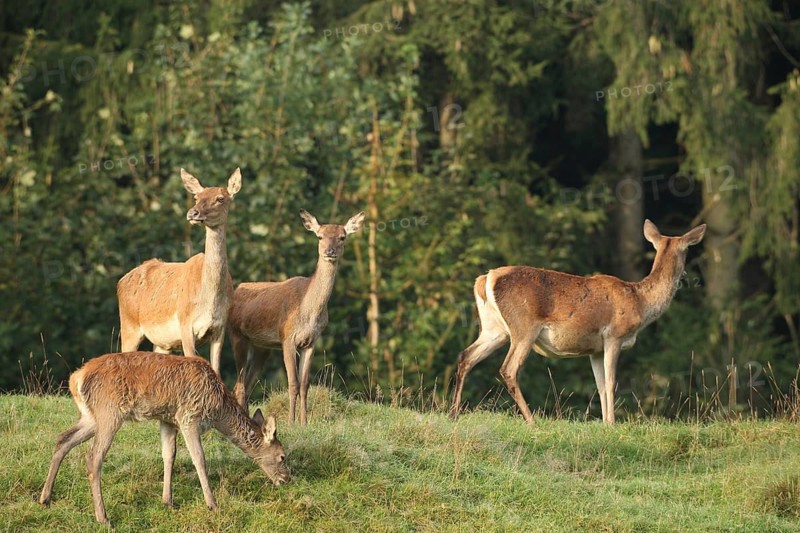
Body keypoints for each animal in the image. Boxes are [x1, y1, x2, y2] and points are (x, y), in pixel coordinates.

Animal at [39, 351, 290, 525]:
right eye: (282, 456)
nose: (287, 479)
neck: (218, 410)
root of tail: (76, 379)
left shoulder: (168, 420)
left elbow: (169, 455)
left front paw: (168, 501)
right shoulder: (188, 416)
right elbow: (199, 458)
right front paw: (213, 504)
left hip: (90, 417)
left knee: (63, 439)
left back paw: (45, 498)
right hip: (109, 411)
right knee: (93, 457)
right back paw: (103, 517)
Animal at [117, 168, 241, 375]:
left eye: (221, 198)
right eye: (197, 197)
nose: (193, 212)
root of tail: (120, 282)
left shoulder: (220, 327)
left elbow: (216, 369)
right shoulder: (185, 324)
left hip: (161, 343)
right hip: (129, 325)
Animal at [229, 210, 365, 425]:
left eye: (342, 237)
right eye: (320, 236)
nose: (330, 251)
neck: (308, 313)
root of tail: (236, 291)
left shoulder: (311, 342)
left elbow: (304, 384)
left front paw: (304, 422)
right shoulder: (287, 338)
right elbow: (292, 383)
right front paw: (291, 422)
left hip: (262, 347)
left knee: (247, 384)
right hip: (237, 335)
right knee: (239, 385)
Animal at [450, 219, 706, 425]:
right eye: (687, 250)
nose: (688, 274)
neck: (640, 302)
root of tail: (486, 278)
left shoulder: (595, 349)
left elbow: (600, 386)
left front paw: (605, 423)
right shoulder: (613, 336)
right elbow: (611, 382)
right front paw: (612, 423)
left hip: (494, 329)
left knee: (466, 356)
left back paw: (453, 413)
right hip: (523, 327)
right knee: (508, 369)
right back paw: (532, 421)